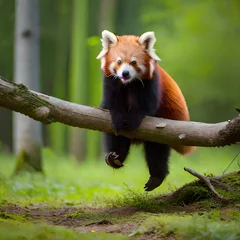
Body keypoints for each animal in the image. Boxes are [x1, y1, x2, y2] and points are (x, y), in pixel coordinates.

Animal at [96, 30, 195, 191]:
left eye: (133, 62)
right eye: (118, 61)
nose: (125, 73)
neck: (129, 84)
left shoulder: (151, 84)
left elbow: (147, 108)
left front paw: (134, 119)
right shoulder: (111, 82)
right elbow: (111, 106)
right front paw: (118, 117)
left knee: (156, 152)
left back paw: (156, 177)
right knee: (115, 139)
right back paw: (115, 158)